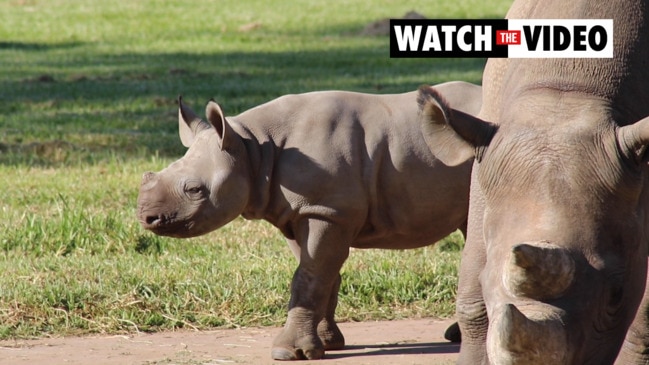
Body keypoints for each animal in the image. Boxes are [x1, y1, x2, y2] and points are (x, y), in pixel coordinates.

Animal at [137, 82, 480, 358]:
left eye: (195, 190)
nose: (146, 217)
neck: (252, 148)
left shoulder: (327, 210)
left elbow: (309, 275)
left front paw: (289, 352)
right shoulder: (301, 211)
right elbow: (323, 273)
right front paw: (327, 343)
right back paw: (455, 336)